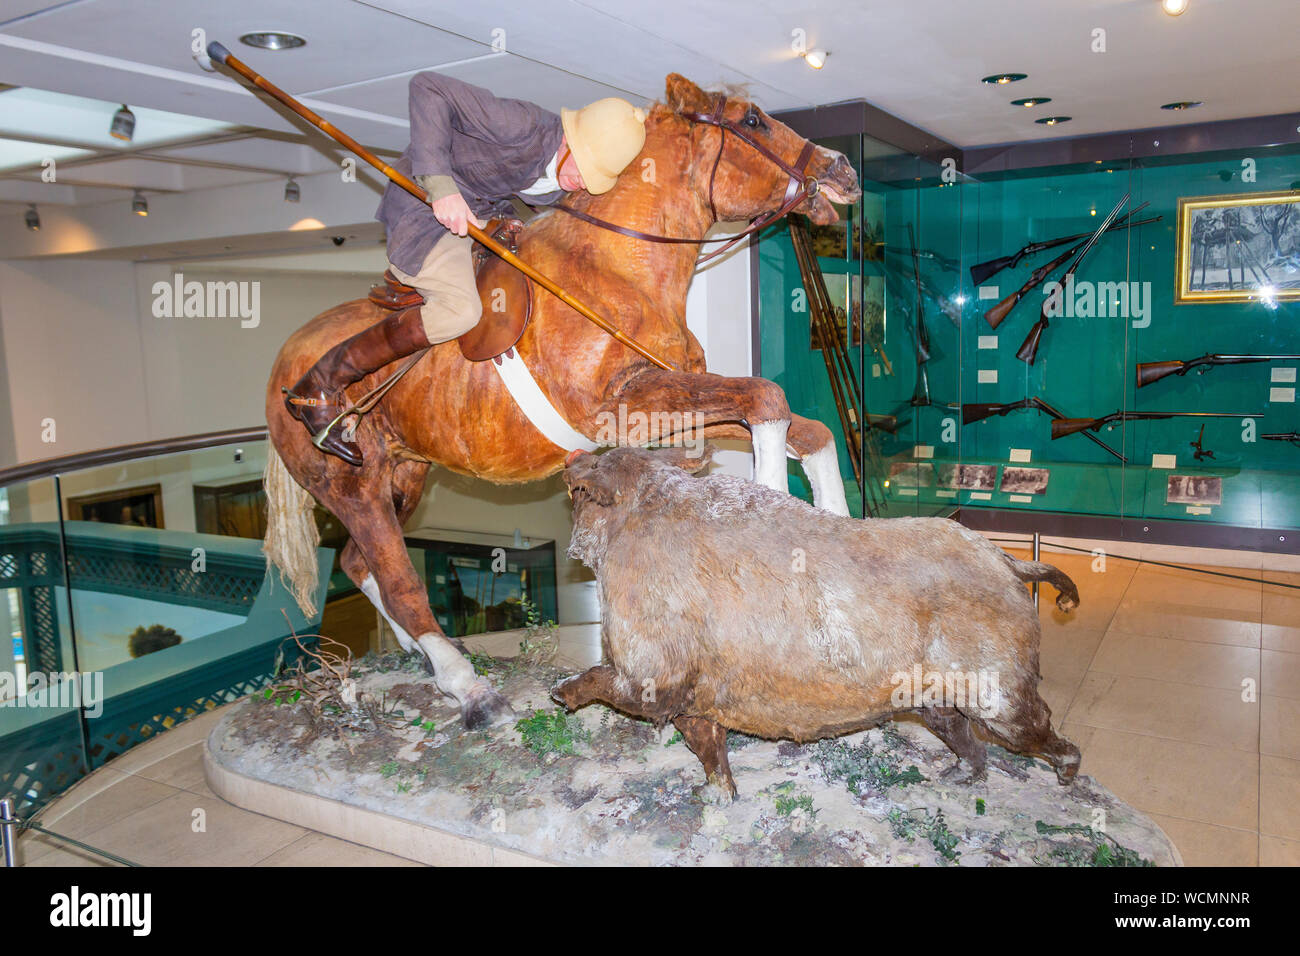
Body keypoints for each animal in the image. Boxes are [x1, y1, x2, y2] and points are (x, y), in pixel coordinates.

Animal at [261, 74, 863, 728]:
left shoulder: (663, 413)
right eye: (753, 120)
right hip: (353, 488)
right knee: (399, 581)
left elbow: (802, 425)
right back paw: (468, 686)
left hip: (403, 477)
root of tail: (283, 368)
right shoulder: (621, 407)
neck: (619, 271)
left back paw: (425, 659)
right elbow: (766, 396)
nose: (845, 169)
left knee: (356, 563)